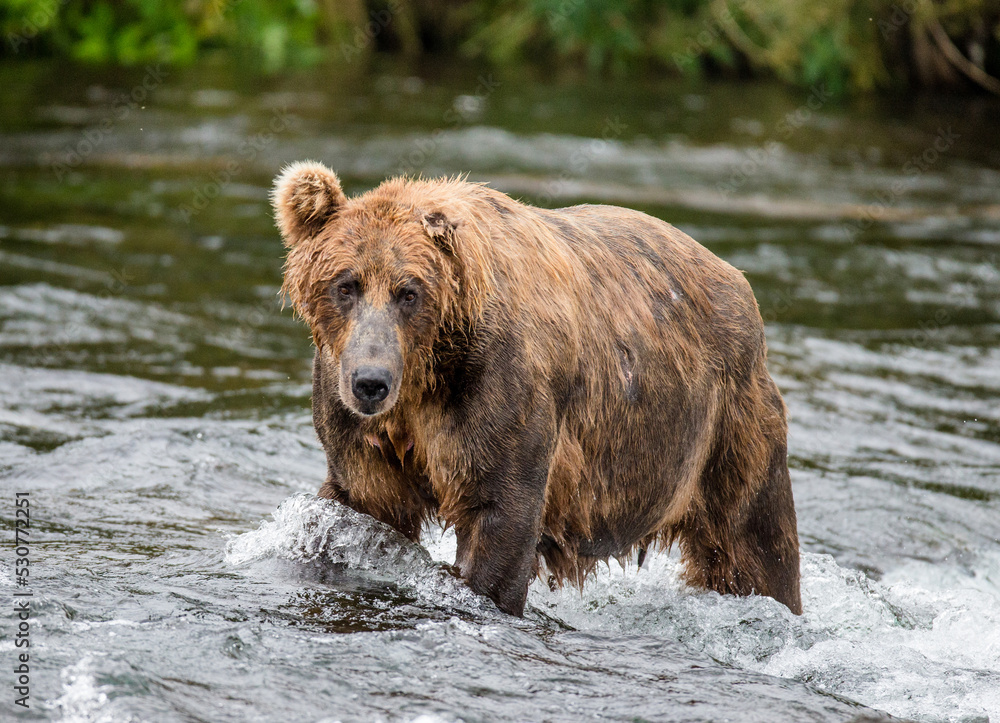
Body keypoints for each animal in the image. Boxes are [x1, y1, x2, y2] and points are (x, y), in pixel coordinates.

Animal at [270, 163, 800, 616]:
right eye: (346, 285)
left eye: (409, 292)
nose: (370, 382)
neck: (428, 376)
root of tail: (738, 282)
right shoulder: (363, 430)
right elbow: (361, 508)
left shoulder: (500, 391)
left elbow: (500, 517)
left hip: (726, 430)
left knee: (753, 548)